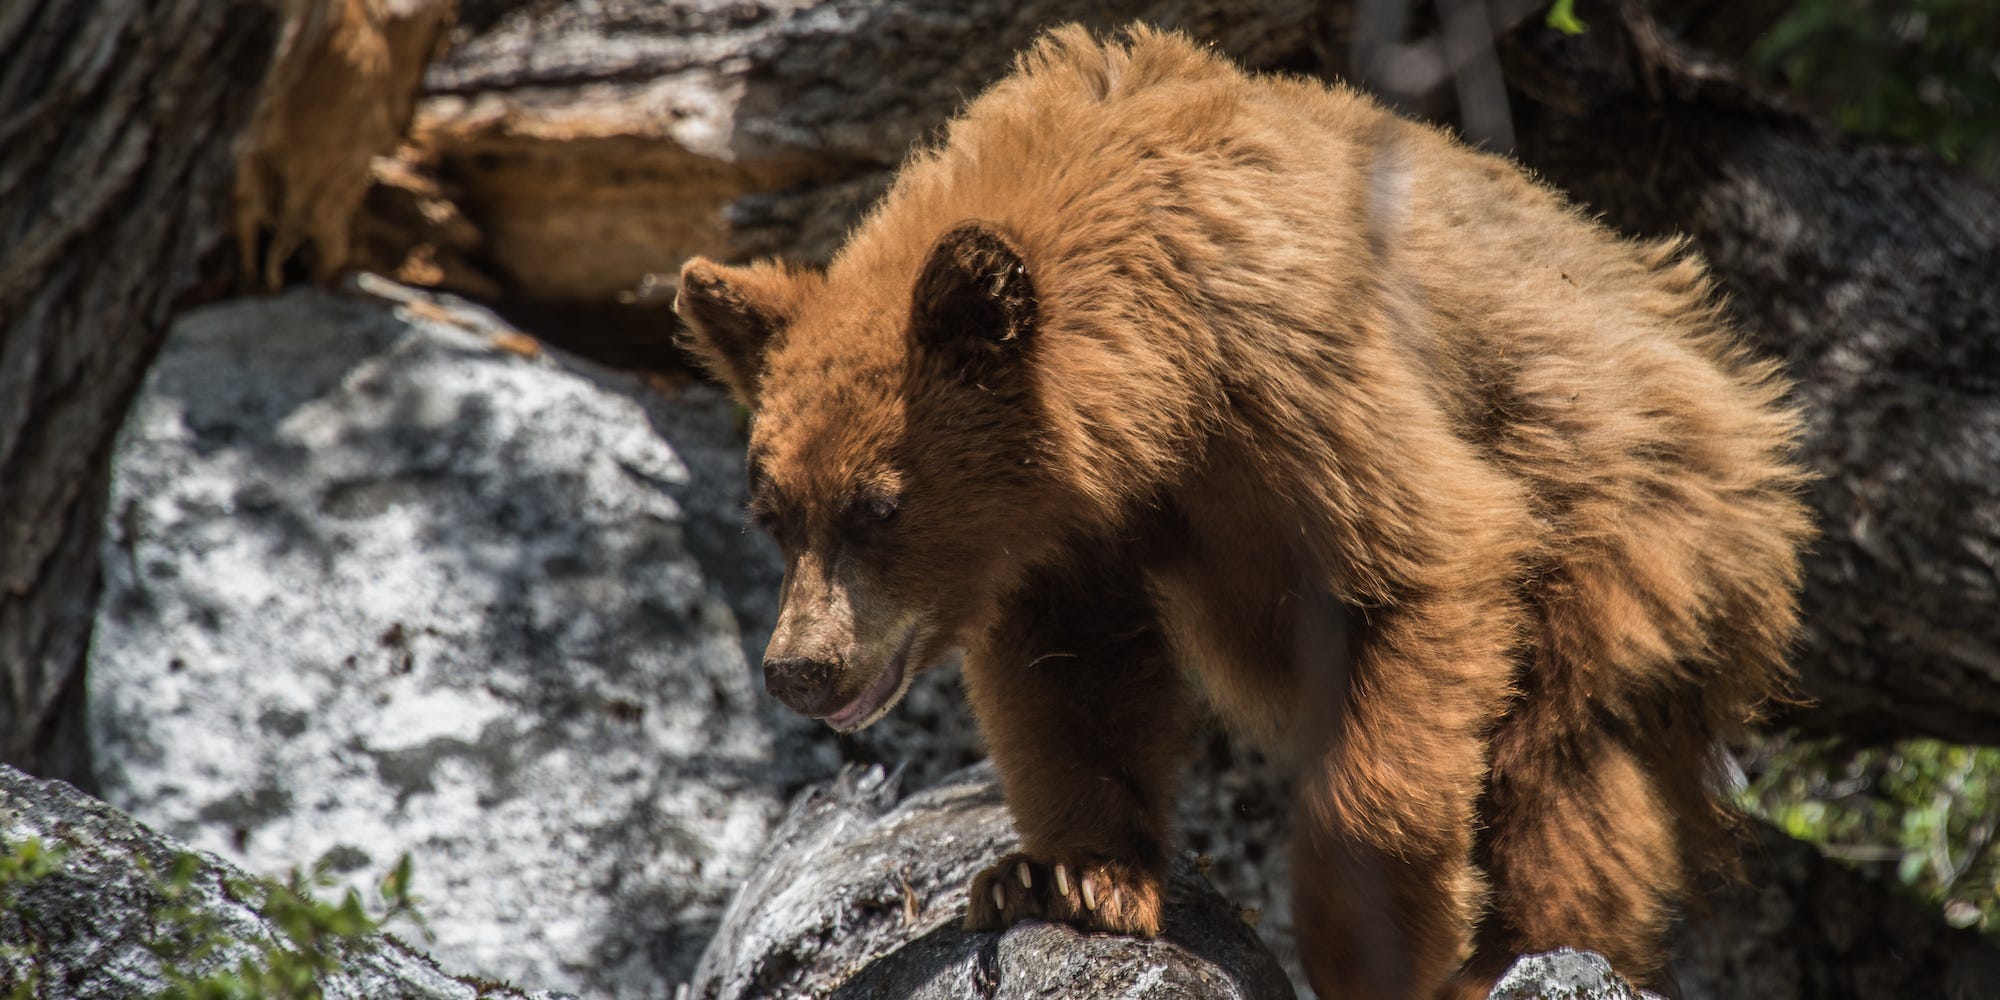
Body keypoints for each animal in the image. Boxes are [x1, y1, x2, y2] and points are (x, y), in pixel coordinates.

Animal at [672, 23, 1816, 1000]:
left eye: (880, 507)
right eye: (774, 513)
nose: (800, 668)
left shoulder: (1296, 379)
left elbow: (1422, 569)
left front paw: (1374, 944)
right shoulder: (1066, 531)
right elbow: (1070, 675)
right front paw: (1066, 876)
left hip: (1629, 513)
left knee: (1563, 759)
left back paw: (1521, 951)